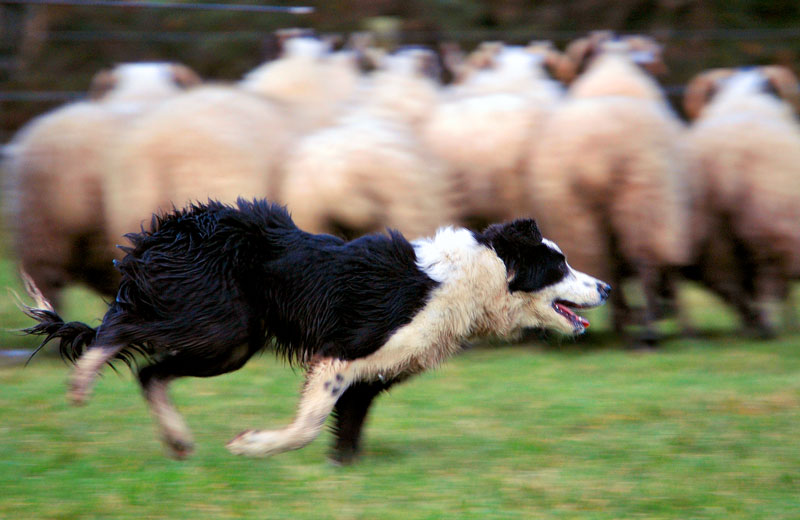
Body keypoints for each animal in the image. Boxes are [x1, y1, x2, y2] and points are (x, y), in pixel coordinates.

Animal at [528, 36, 692, 346]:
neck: (614, 66)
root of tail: (600, 151)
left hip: (576, 213)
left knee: (606, 268)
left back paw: (628, 327)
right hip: (645, 196)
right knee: (643, 264)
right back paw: (645, 332)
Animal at [680, 67, 800, 338]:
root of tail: (729, 163)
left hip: (713, 240)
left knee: (729, 285)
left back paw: (749, 326)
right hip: (770, 226)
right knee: (768, 281)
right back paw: (767, 327)